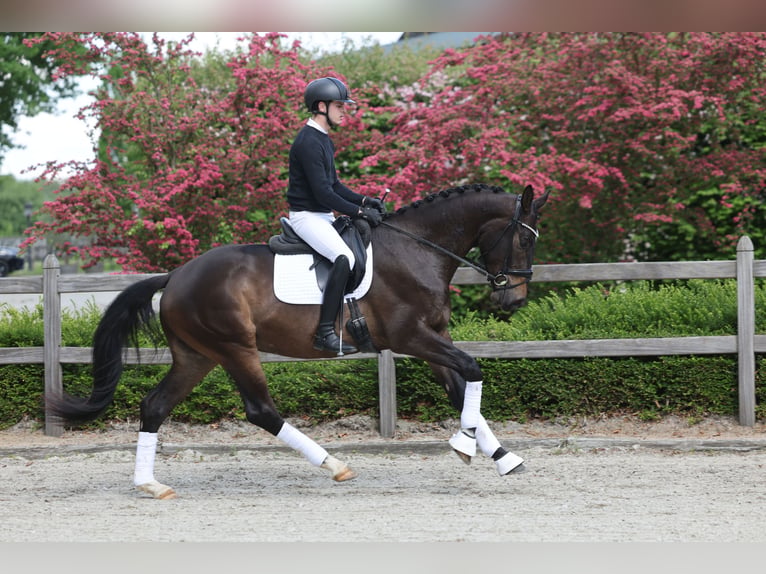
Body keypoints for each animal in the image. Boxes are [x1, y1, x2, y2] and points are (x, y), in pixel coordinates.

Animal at [48, 182, 549, 499]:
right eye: (524, 240)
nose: (513, 299)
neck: (418, 249)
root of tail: (175, 276)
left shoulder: (432, 339)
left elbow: (461, 388)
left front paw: (502, 456)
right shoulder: (412, 337)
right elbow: (472, 370)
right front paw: (466, 445)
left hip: (197, 356)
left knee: (154, 406)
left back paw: (150, 485)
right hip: (235, 348)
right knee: (261, 411)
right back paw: (334, 465)